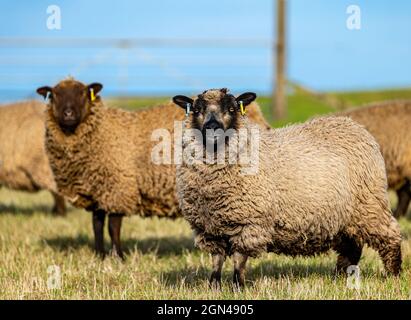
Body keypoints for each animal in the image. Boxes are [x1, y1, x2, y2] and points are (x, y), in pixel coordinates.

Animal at [33, 79, 268, 258]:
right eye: (54, 95)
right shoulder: (99, 190)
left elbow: (113, 226)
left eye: (82, 94)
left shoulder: (118, 189)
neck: (103, 131)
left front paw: (118, 257)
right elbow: (97, 225)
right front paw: (100, 256)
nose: (68, 114)